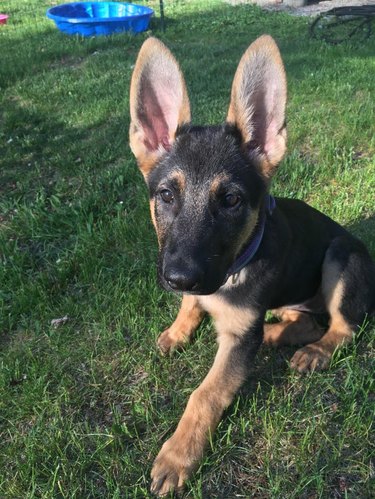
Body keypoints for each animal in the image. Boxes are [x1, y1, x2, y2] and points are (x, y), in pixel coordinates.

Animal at [129, 35, 375, 496]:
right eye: (167, 196)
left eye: (231, 200)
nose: (179, 277)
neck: (230, 272)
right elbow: (190, 307)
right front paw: (179, 329)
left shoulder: (237, 335)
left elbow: (205, 394)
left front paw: (178, 456)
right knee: (306, 320)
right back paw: (278, 332)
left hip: (341, 257)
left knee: (343, 326)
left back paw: (313, 351)